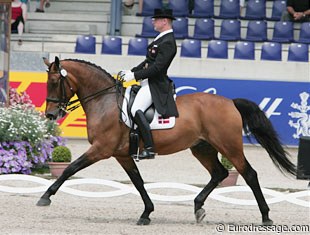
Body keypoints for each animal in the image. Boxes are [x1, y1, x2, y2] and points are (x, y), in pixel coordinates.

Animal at [37, 56, 296, 226]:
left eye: (54, 83)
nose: (50, 114)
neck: (105, 102)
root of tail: (230, 102)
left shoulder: (101, 149)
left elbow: (70, 168)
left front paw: (45, 197)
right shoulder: (121, 154)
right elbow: (138, 182)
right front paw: (146, 213)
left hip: (229, 146)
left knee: (249, 174)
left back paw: (266, 216)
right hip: (202, 148)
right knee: (219, 173)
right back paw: (198, 207)